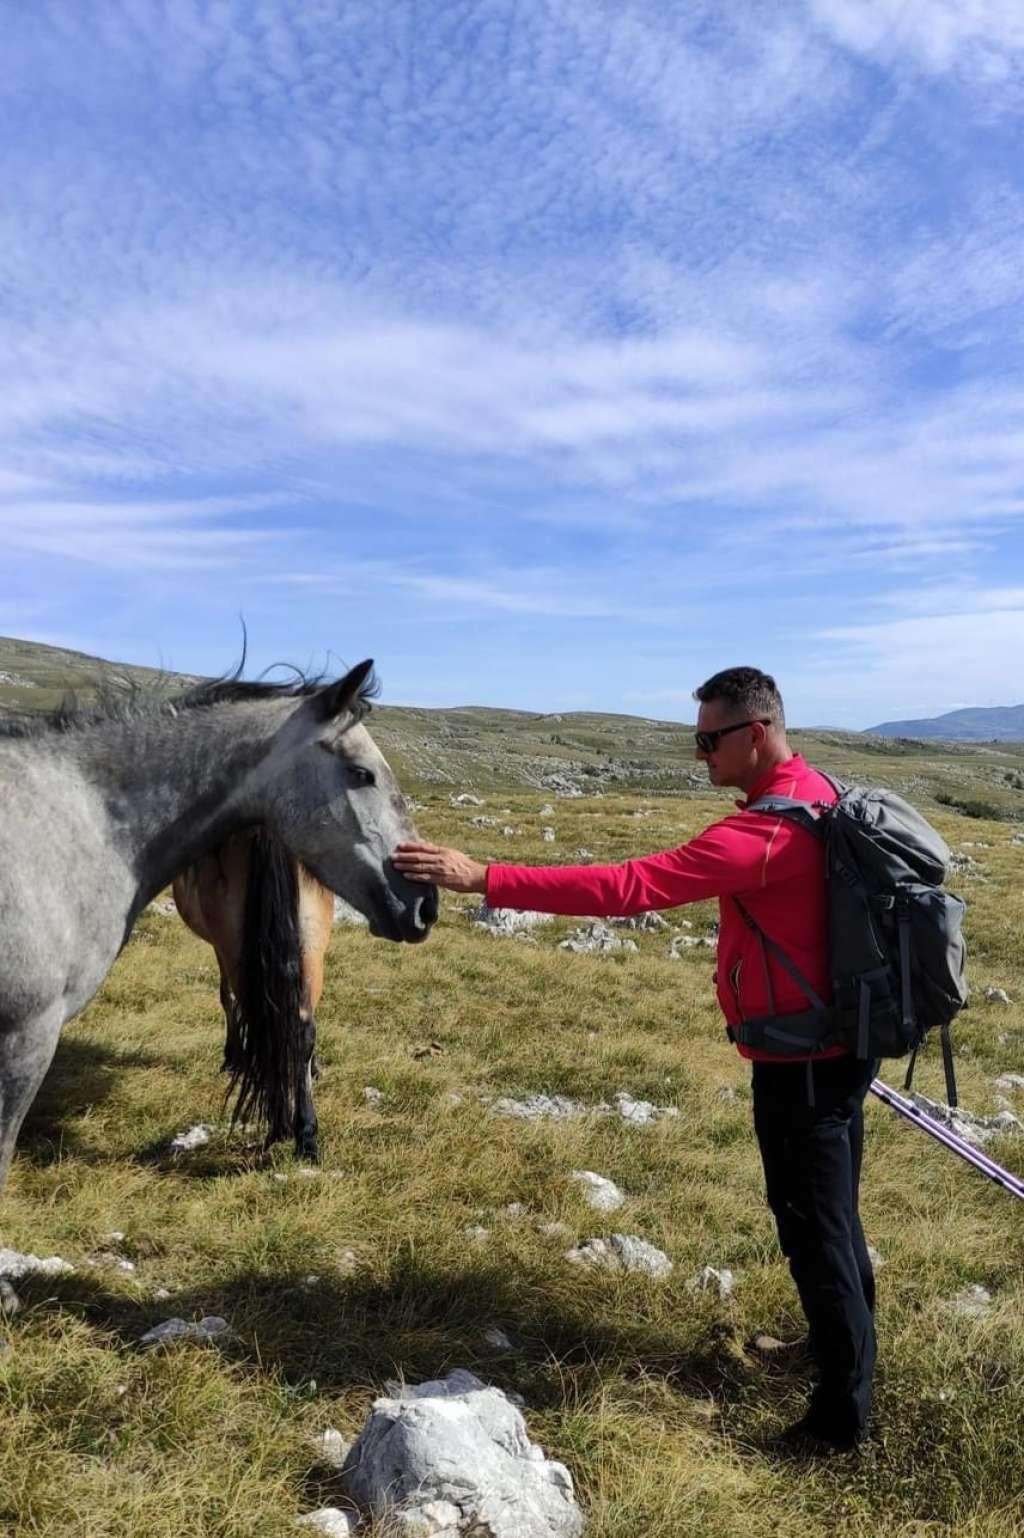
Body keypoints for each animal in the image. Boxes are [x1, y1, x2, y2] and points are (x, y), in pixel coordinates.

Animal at [0, 661, 433, 1187]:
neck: (85, 818)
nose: (425, 904)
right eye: (361, 773)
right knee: (301, 1025)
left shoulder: (29, 1034)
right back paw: (304, 1132)